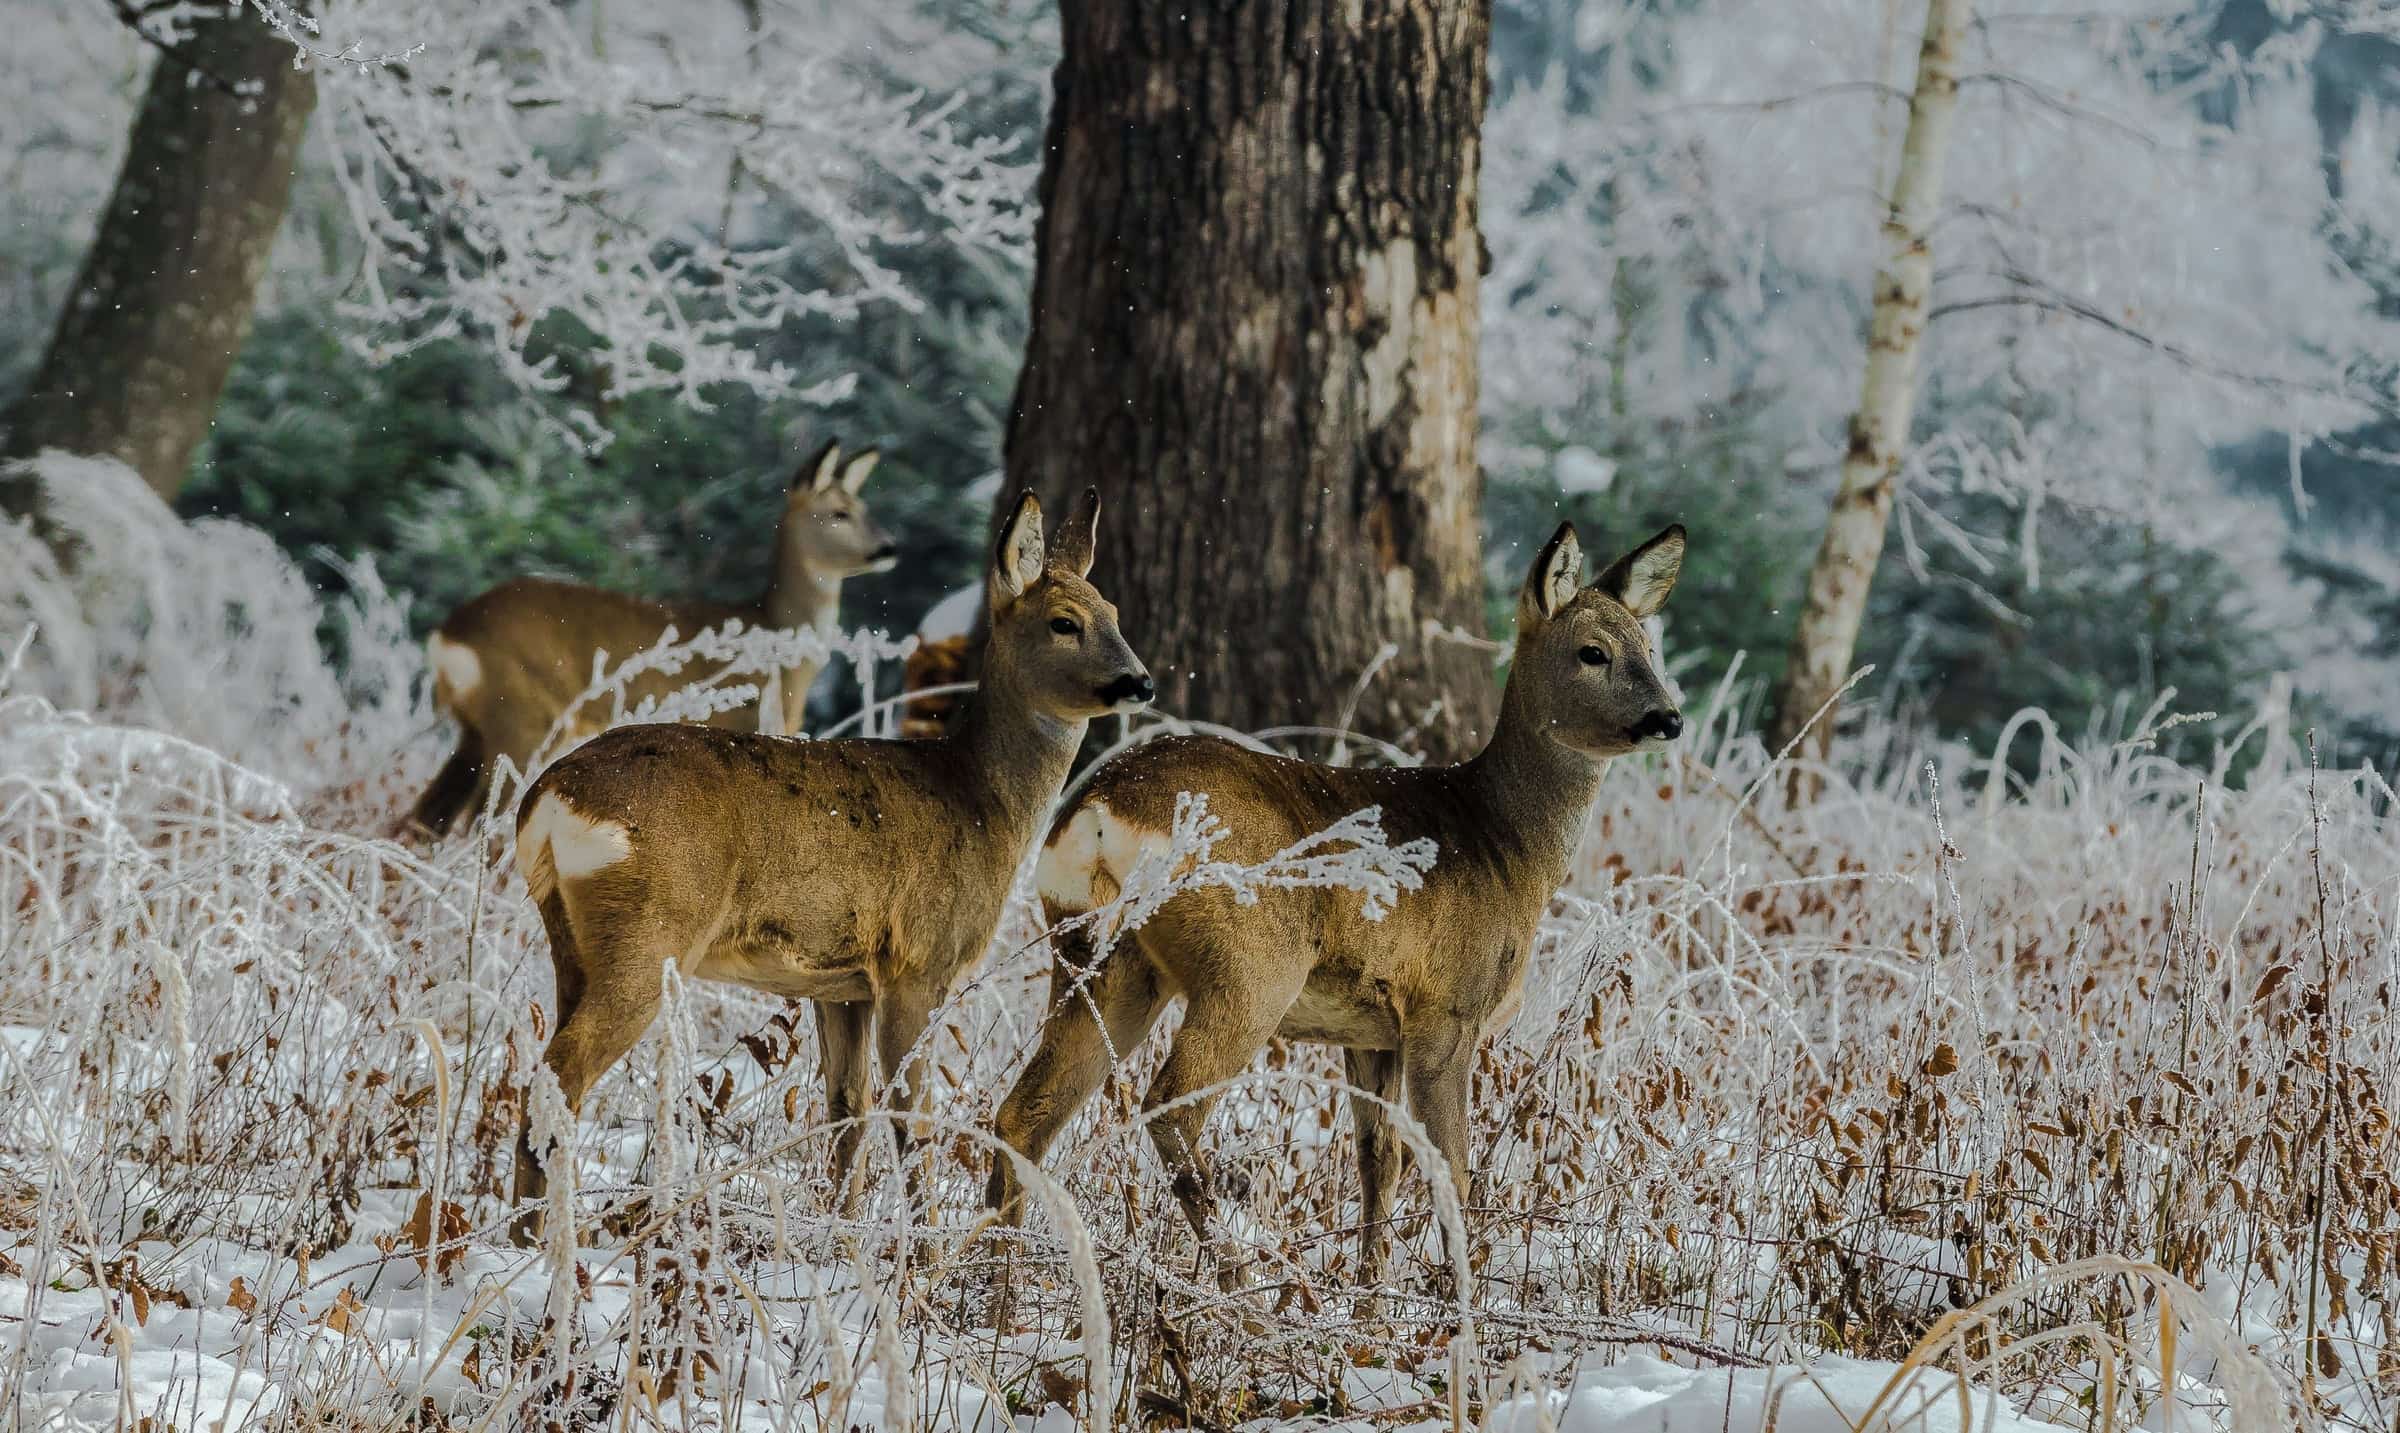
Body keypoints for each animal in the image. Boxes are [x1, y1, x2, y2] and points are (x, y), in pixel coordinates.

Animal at [407, 440, 895, 838]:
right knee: (479, 825)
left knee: (423, 818)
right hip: (522, 718)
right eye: (839, 513)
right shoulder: (745, 725)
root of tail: (448, 635)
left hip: (474, 728)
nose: (889, 547)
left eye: (865, 506)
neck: (776, 639)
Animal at [508, 487, 1153, 1241]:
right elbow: (911, 1121)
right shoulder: (917, 960)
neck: (978, 800)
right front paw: (921, 1251)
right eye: (1063, 622)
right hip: (649, 933)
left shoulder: (844, 983)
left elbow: (849, 1111)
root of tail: (547, 800)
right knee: (562, 1071)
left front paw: (844, 1237)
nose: (1140, 682)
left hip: (571, 940)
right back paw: (541, 1244)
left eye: (1115, 614)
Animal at [986, 522, 1686, 1292]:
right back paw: (1238, 1278)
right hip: (1251, 966)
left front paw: (1371, 1297)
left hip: (1102, 957)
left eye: (1650, 648)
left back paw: (992, 1284)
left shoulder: (1372, 1029)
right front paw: (1456, 1301)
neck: (1504, 845)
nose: (1668, 718)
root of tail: (1102, 808)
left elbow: (1379, 1161)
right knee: (1168, 1107)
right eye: (1593, 651)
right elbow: (1451, 1171)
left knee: (1022, 1116)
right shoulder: (1447, 1009)